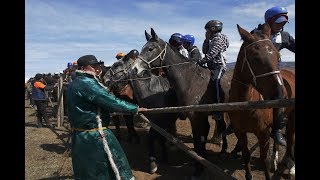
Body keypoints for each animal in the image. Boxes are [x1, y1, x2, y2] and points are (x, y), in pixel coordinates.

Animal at [132, 27, 230, 177]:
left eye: (150, 48)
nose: (135, 69)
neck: (191, 79)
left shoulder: (194, 117)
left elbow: (197, 140)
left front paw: (198, 169)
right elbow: (200, 139)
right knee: (222, 126)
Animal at [225, 23, 296, 179]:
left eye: (278, 57)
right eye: (255, 58)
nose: (279, 94)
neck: (245, 105)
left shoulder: (263, 135)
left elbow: (264, 160)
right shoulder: (240, 132)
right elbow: (246, 155)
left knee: (290, 137)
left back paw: (290, 164)